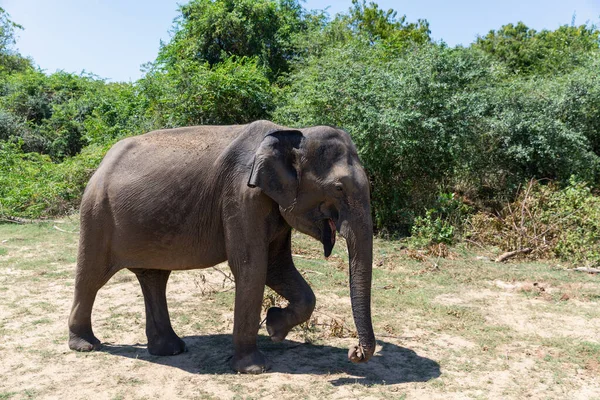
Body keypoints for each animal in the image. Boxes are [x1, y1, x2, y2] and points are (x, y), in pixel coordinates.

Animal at [67, 119, 376, 376]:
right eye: (338, 188)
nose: (354, 352)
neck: (292, 132)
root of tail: (101, 164)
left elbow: (277, 267)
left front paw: (274, 327)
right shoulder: (242, 196)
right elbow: (252, 267)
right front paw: (255, 368)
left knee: (154, 278)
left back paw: (170, 350)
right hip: (96, 214)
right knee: (91, 276)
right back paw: (86, 345)